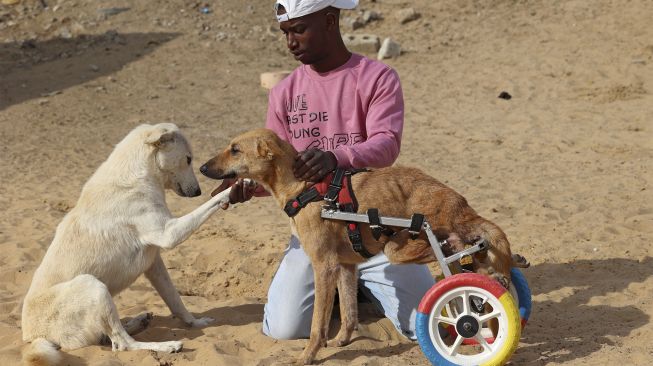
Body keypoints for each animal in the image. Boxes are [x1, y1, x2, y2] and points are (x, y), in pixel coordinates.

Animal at [21, 123, 233, 366]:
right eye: (188, 159)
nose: (198, 191)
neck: (137, 175)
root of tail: (33, 337)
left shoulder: (154, 264)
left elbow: (176, 301)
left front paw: (195, 323)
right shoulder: (169, 234)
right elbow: (210, 204)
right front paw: (237, 187)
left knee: (109, 337)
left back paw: (140, 321)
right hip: (93, 286)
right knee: (121, 344)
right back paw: (166, 345)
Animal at [201, 128, 528, 364]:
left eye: (235, 149)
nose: (203, 167)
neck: (304, 187)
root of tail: (458, 202)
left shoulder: (324, 267)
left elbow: (318, 324)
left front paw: (308, 355)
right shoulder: (345, 266)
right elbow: (348, 313)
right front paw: (342, 341)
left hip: (403, 244)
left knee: (455, 260)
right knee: (468, 264)